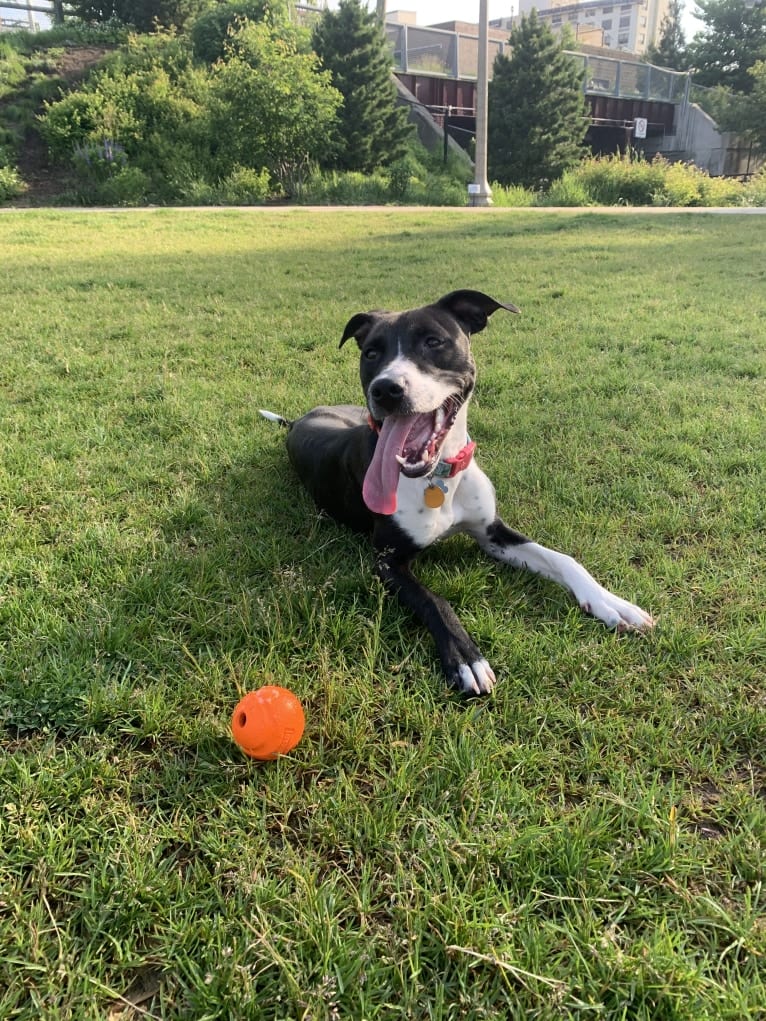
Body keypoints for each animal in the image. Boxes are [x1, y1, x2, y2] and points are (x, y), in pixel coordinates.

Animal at [263, 292, 653, 698]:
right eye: (371, 352)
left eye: (433, 342)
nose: (385, 389)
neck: (438, 477)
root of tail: (300, 419)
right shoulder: (386, 561)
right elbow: (434, 600)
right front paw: (466, 657)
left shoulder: (492, 533)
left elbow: (564, 559)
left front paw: (610, 602)